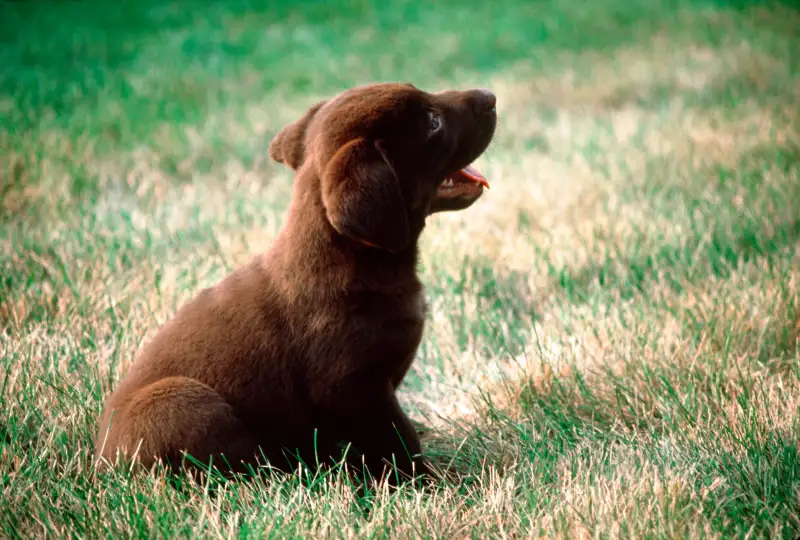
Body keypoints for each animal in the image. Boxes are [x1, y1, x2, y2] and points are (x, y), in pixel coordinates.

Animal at [92, 83, 494, 480]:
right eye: (432, 121)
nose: (490, 96)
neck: (356, 260)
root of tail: (101, 468)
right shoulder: (354, 390)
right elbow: (398, 439)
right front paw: (427, 481)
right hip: (183, 403)